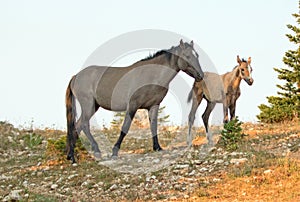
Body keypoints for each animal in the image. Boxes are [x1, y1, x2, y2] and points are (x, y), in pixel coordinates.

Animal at [66, 39, 204, 163]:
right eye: (187, 56)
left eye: (197, 55)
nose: (201, 75)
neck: (151, 76)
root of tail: (76, 76)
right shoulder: (133, 105)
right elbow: (125, 128)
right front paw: (115, 151)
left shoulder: (154, 105)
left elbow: (153, 126)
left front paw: (157, 147)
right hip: (88, 104)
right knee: (84, 124)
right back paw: (95, 151)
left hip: (94, 106)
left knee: (77, 126)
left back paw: (71, 156)